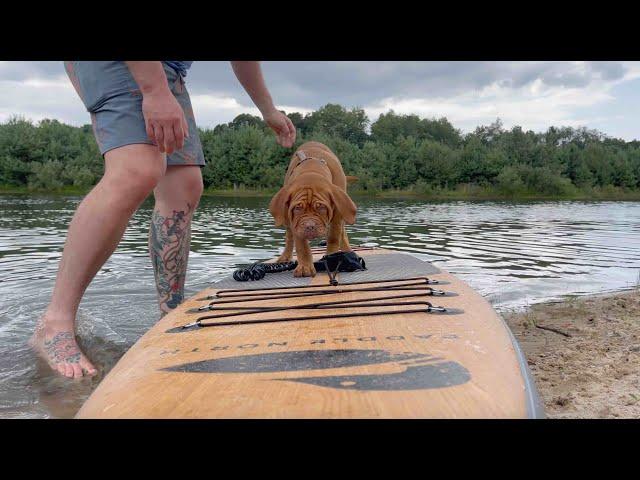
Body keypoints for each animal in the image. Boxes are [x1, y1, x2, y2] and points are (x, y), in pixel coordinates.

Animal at [268, 142, 358, 278]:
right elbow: (301, 245)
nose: (309, 226)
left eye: (321, 207)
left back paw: (348, 251)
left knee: (342, 232)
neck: (311, 169)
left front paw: (331, 258)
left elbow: (333, 237)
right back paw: (285, 257)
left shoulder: (338, 214)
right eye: (298, 208)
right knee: (289, 237)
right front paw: (305, 267)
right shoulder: (295, 221)